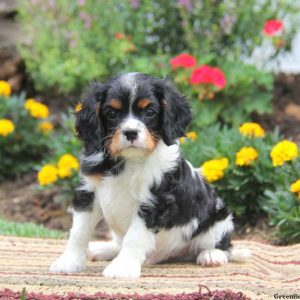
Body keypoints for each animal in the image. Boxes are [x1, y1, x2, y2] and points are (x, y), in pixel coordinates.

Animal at [51, 72, 248, 278]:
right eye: (111, 113)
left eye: (150, 112)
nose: (130, 132)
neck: (128, 161)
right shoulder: (88, 192)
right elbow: (79, 231)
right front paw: (69, 262)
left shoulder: (154, 202)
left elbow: (134, 236)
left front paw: (122, 268)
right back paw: (105, 249)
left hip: (219, 219)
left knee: (223, 245)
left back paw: (211, 255)